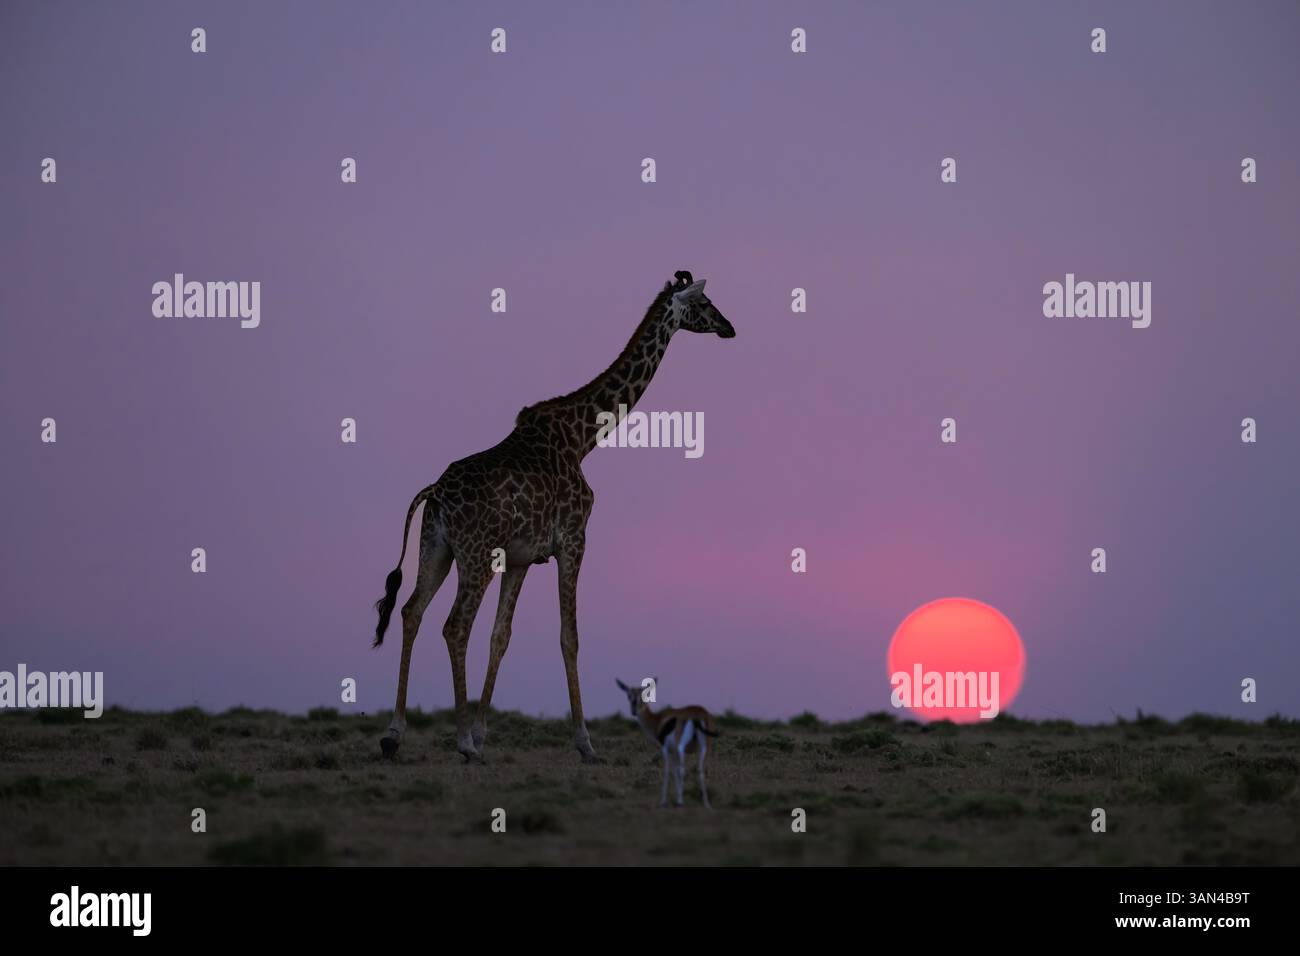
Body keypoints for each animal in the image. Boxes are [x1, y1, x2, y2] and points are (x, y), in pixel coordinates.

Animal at [372, 271, 736, 763]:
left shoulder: (521, 558)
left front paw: (484, 734)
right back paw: (461, 744)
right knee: (454, 626)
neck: (584, 438)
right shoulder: (574, 539)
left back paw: (394, 735)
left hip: (437, 549)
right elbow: (570, 636)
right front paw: (585, 744)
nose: (729, 327)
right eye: (704, 302)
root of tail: (435, 493)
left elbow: (501, 636)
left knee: (412, 612)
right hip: (475, 556)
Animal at [616, 679, 718, 808]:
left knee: (682, 770)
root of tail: (698, 715)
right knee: (700, 770)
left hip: (681, 747)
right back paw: (706, 804)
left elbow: (667, 771)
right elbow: (674, 771)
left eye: (644, 695)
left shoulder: (665, 748)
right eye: (629, 696)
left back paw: (681, 802)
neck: (657, 720)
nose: (634, 710)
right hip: (704, 748)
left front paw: (664, 801)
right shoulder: (673, 751)